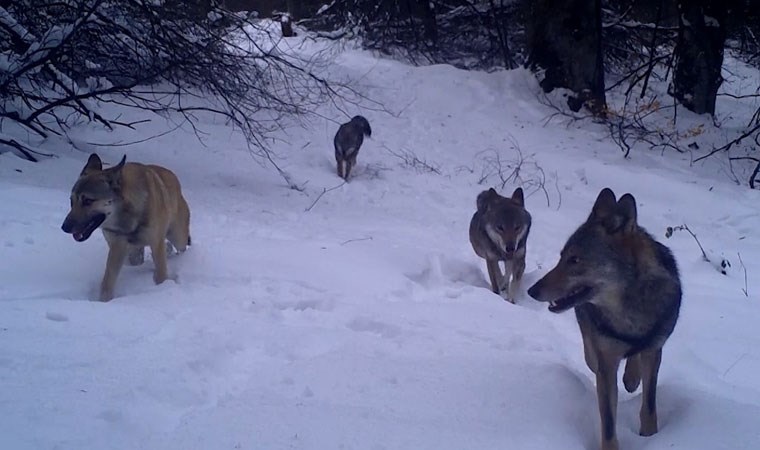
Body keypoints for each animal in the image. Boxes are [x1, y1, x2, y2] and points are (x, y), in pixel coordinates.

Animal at [62, 152, 193, 302]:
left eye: (88, 201)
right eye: (71, 201)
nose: (64, 227)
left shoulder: (155, 242)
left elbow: (161, 274)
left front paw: (161, 288)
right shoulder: (118, 245)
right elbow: (107, 281)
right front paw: (104, 302)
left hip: (178, 237)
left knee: (180, 247)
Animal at [528, 187, 684, 450]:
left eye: (575, 260)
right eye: (561, 257)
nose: (532, 291)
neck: (629, 314)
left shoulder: (654, 350)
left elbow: (649, 406)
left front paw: (651, 437)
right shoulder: (606, 364)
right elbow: (609, 420)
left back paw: (631, 377)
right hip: (592, 347)